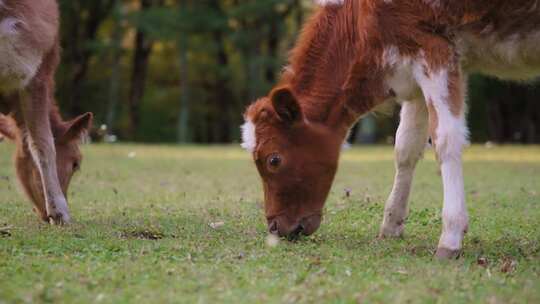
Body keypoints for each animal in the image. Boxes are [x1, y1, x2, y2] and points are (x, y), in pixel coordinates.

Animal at [244, 0, 540, 258]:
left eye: (273, 159)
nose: (275, 228)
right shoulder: (411, 64)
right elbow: (406, 147)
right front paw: (391, 223)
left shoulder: (434, 47)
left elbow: (445, 139)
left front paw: (450, 237)